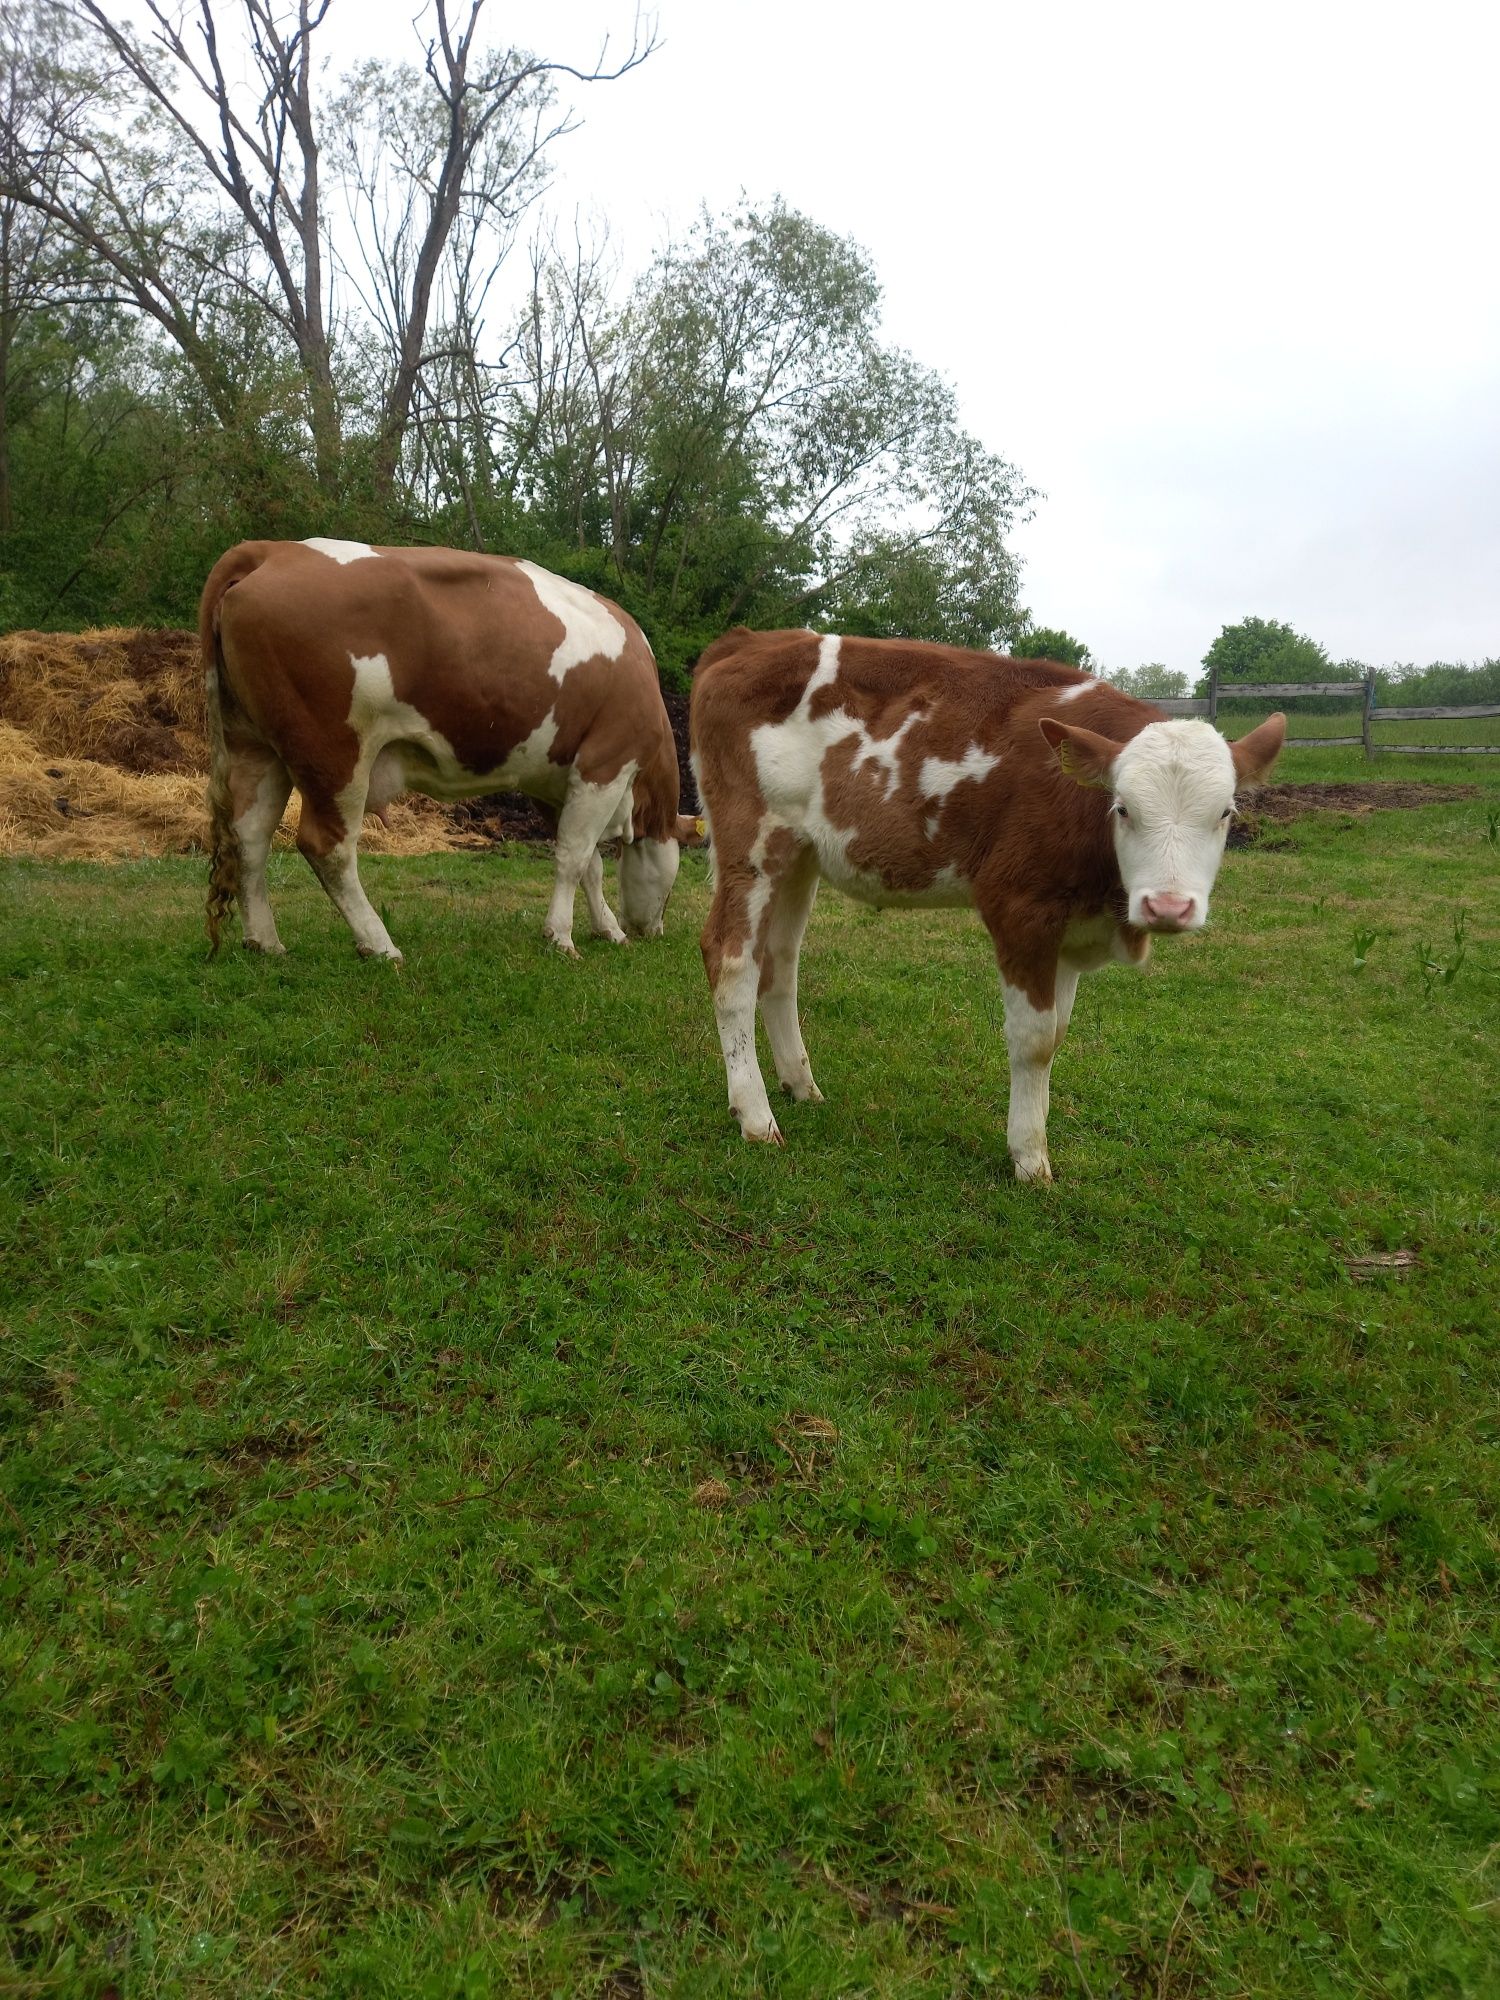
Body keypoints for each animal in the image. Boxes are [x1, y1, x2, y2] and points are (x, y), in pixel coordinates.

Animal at [200, 540, 692, 960]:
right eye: (671, 891)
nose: (654, 930)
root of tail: (272, 550)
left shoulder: (553, 780)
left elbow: (589, 863)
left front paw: (608, 928)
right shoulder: (605, 764)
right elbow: (574, 858)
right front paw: (563, 937)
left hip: (255, 746)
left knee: (250, 837)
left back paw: (264, 941)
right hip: (334, 754)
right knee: (328, 848)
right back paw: (379, 943)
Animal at [692, 632, 1296, 1176]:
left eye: (1226, 812)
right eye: (1123, 808)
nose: (1168, 907)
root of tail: (749, 640)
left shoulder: (1068, 932)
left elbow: (1057, 1034)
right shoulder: (1020, 907)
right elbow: (1033, 1041)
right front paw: (1029, 1157)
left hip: (799, 855)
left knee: (779, 965)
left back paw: (799, 1084)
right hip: (750, 842)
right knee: (732, 961)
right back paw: (755, 1115)